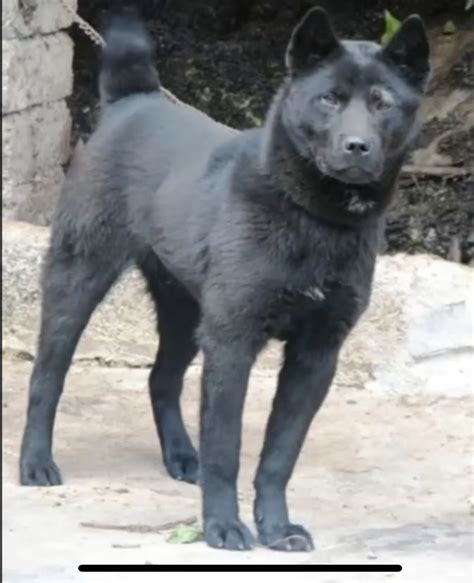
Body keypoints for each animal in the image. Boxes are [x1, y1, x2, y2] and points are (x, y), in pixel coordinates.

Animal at [20, 8, 430, 552]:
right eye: (329, 98)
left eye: (383, 102)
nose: (357, 147)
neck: (312, 219)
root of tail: (133, 100)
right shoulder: (233, 344)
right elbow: (226, 449)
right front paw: (223, 526)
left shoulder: (315, 356)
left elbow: (280, 455)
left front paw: (276, 528)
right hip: (77, 281)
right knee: (47, 378)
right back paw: (35, 463)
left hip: (185, 311)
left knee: (161, 379)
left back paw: (180, 456)